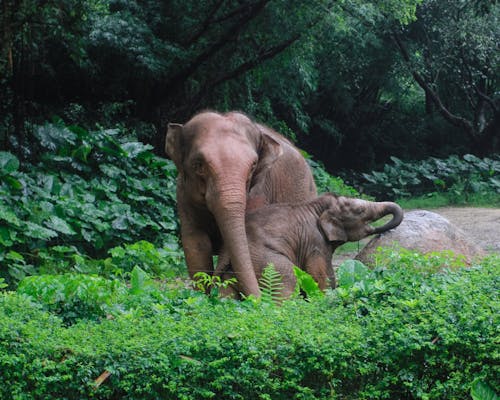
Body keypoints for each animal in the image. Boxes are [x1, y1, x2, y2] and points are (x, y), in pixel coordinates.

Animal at [167, 110, 316, 296]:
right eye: (198, 165)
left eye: (253, 166)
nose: (258, 299)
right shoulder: (183, 193)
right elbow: (196, 243)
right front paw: (202, 297)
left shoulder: (260, 191)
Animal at [215, 192, 402, 298]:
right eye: (360, 211)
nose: (381, 231)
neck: (318, 206)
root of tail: (226, 252)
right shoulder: (315, 241)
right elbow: (321, 275)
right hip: (264, 260)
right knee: (288, 279)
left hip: (230, 274)